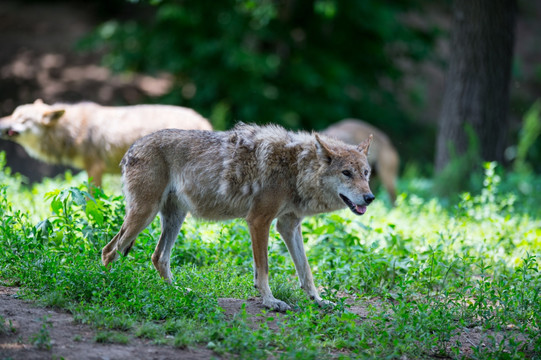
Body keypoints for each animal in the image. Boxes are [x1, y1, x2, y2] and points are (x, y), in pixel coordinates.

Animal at [0, 100, 211, 187]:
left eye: (22, 119)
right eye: (13, 113)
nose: (1, 122)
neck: (73, 129)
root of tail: (203, 121)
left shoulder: (94, 169)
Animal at [102, 122, 376, 310]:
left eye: (365, 173)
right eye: (346, 173)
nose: (370, 198)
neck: (295, 167)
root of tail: (132, 147)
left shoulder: (288, 226)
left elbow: (305, 270)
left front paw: (318, 300)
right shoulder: (258, 221)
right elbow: (263, 268)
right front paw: (270, 302)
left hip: (175, 217)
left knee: (158, 257)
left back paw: (178, 292)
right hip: (144, 215)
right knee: (109, 250)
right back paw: (106, 285)